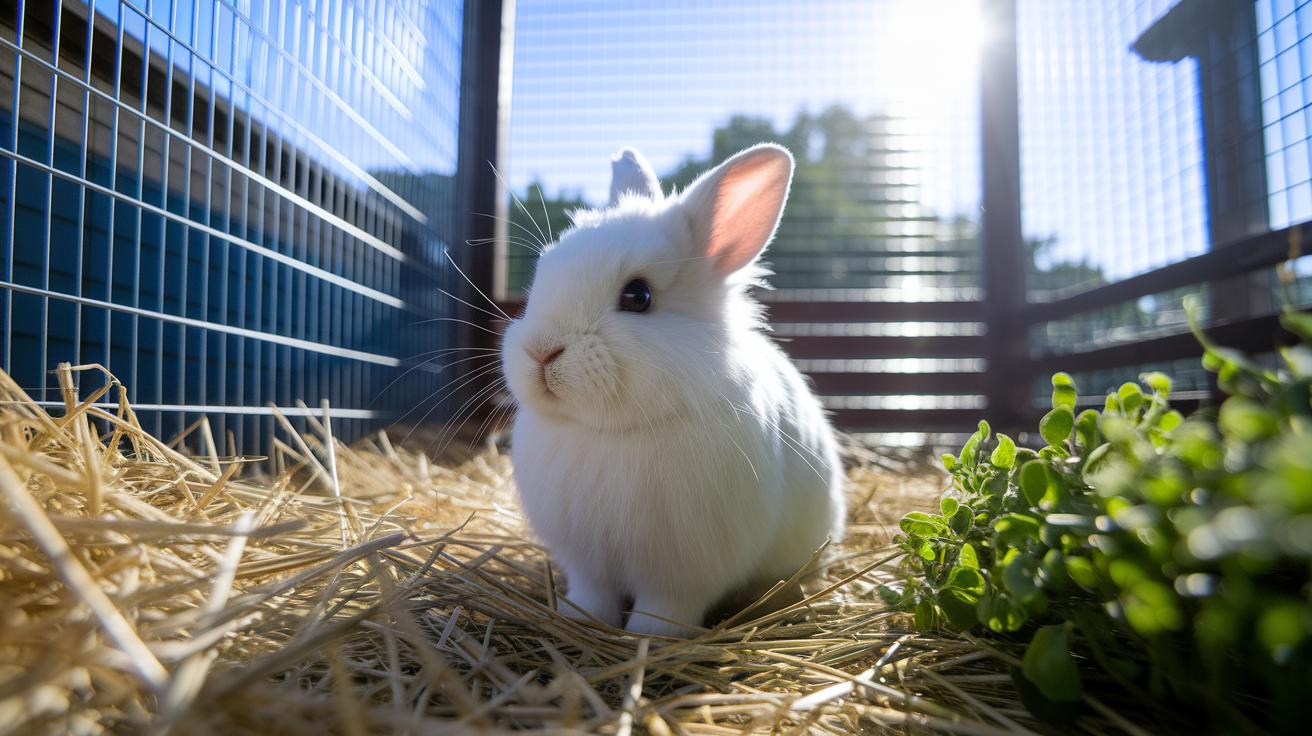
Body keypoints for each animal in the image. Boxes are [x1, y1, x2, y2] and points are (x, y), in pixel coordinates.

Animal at [500, 143, 845, 637]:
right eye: (544, 270)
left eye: (638, 296)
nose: (541, 350)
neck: (610, 434)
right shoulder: (586, 560)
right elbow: (592, 593)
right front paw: (580, 618)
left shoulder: (682, 572)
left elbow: (664, 607)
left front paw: (650, 636)